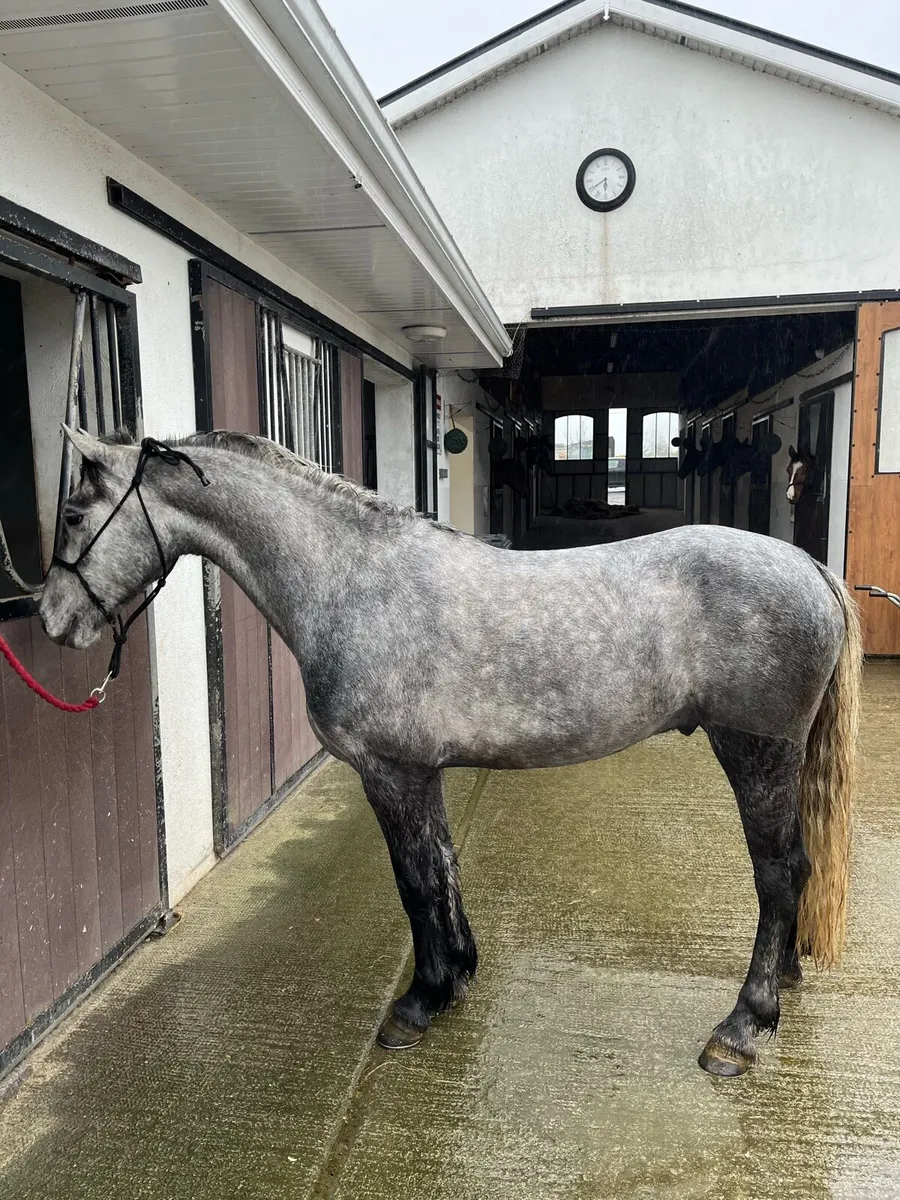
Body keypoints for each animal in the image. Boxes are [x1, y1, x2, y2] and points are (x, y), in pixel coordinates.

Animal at [40, 426, 861, 1078]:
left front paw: (419, 1002)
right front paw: (457, 977)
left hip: (755, 753)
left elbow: (414, 883)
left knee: (779, 872)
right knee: (794, 867)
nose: (52, 620)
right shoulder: (421, 773)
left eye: (75, 514)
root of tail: (810, 567)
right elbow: (441, 868)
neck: (351, 582)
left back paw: (742, 1027)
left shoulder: (390, 773)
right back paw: (783, 984)